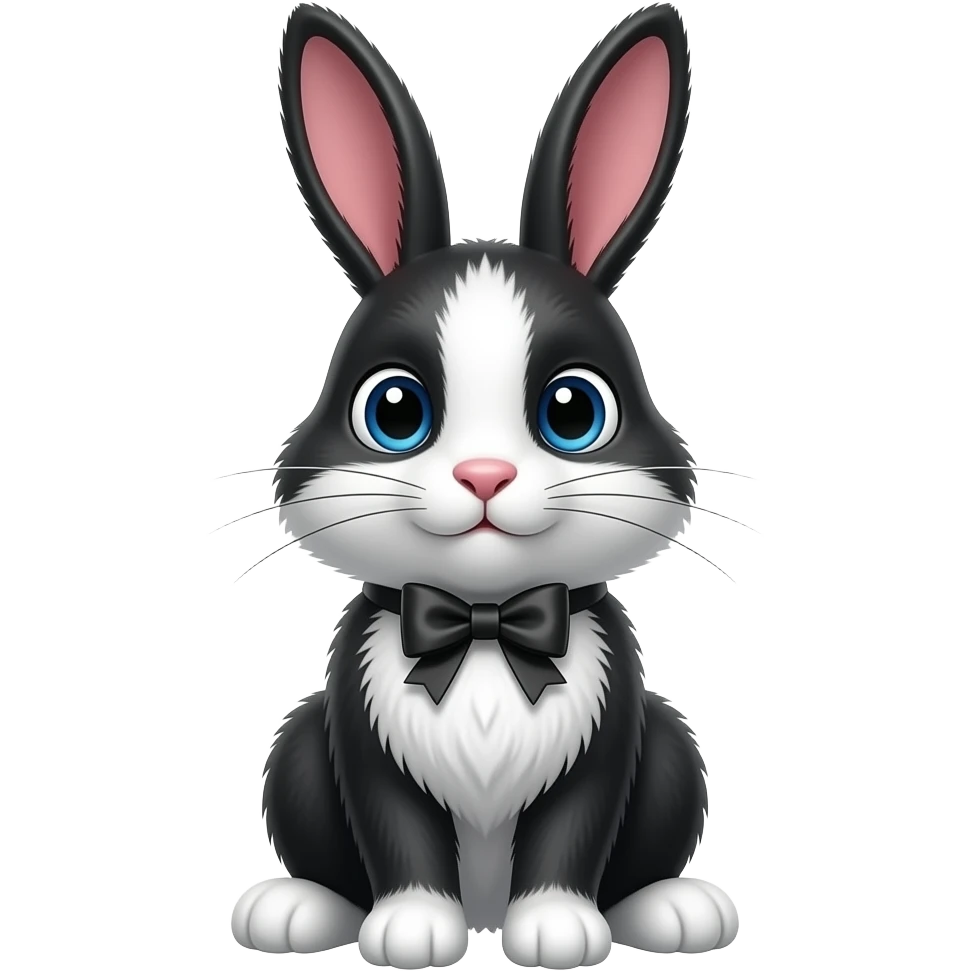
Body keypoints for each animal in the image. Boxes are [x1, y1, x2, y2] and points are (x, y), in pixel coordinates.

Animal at [230, 2, 741, 967]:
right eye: (394, 410)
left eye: (573, 410)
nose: (484, 474)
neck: (484, 629)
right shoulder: (357, 728)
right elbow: (395, 828)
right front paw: (412, 930)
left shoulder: (612, 729)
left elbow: (573, 828)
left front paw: (555, 929)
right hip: (298, 742)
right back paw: (295, 908)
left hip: (670, 741)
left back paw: (673, 908)